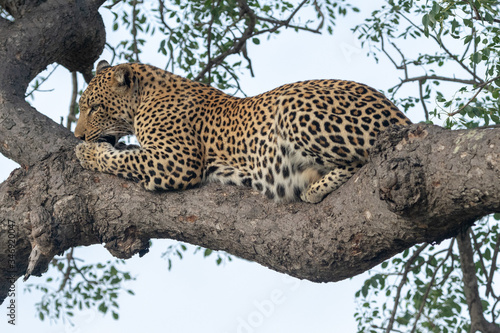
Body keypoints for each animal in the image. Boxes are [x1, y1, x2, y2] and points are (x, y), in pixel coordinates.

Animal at [73, 61, 410, 204]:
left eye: (94, 107)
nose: (77, 135)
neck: (143, 99)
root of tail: (398, 114)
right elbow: (128, 153)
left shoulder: (177, 161)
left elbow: (122, 160)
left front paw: (86, 152)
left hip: (292, 108)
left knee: (362, 158)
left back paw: (313, 187)